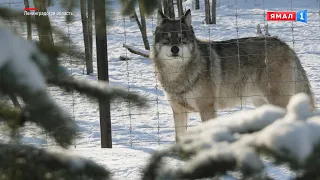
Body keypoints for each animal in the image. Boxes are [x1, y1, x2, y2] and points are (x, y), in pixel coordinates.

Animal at [151, 9, 316, 141]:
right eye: (166, 38)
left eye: (181, 38)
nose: (175, 49)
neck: (177, 75)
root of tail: (286, 46)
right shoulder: (178, 110)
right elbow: (179, 138)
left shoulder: (207, 108)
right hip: (260, 102)